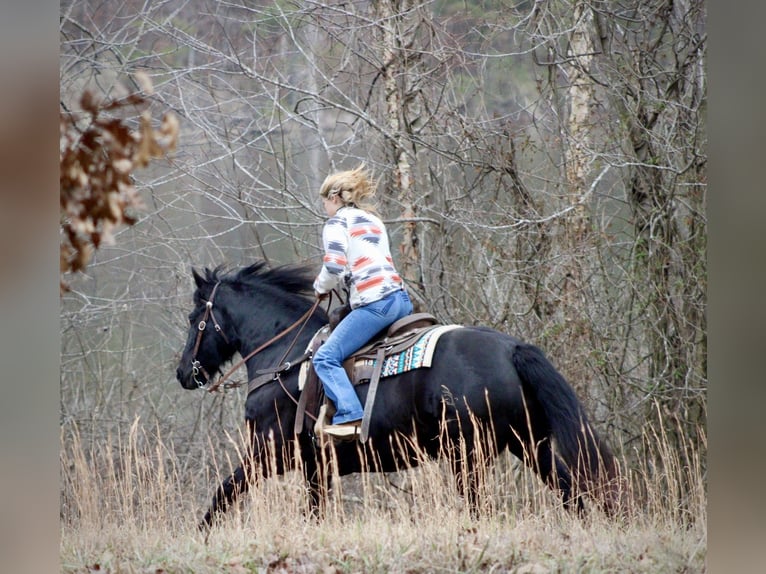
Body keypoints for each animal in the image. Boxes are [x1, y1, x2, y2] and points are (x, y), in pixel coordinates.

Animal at [175, 261, 622, 527]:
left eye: (196, 318)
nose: (183, 373)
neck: (285, 358)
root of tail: (511, 349)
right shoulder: (314, 464)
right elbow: (314, 511)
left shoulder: (267, 453)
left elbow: (223, 493)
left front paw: (202, 535)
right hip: (528, 444)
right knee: (570, 492)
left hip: (469, 454)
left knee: (484, 507)